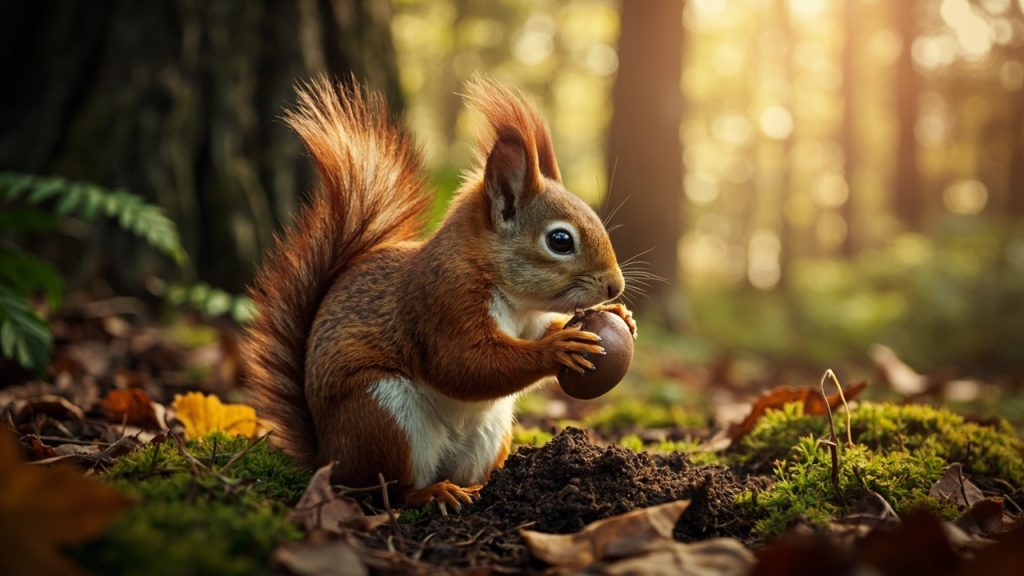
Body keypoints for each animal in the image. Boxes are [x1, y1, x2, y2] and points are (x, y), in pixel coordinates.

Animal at [242, 76, 635, 510]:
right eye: (560, 240)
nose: (615, 285)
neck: (511, 296)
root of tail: (330, 458)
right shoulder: (443, 301)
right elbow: (464, 364)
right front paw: (558, 349)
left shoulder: (528, 321)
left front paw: (620, 316)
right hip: (382, 415)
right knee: (390, 490)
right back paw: (433, 492)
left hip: (489, 432)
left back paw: (483, 486)